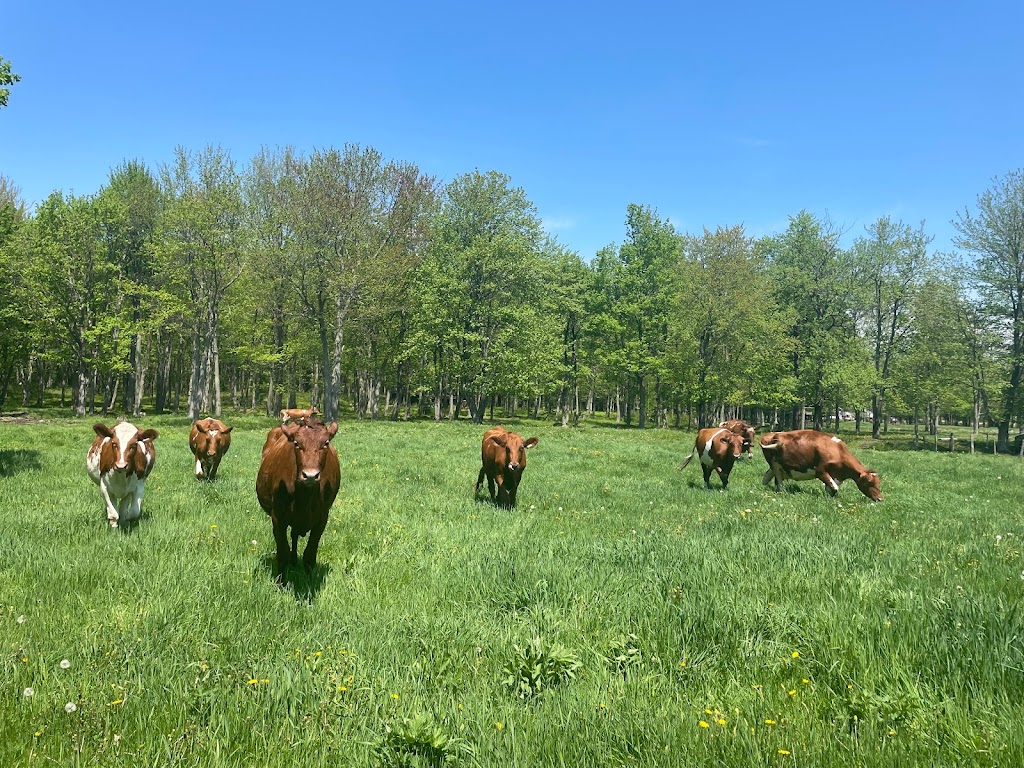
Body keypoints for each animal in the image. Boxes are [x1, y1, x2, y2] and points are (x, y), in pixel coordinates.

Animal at [254, 421, 339, 581]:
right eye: (296, 443)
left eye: (325, 443)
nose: (310, 475)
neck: (304, 497)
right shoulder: (278, 518)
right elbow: (283, 553)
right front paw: (280, 582)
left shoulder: (322, 518)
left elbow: (310, 555)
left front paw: (309, 581)